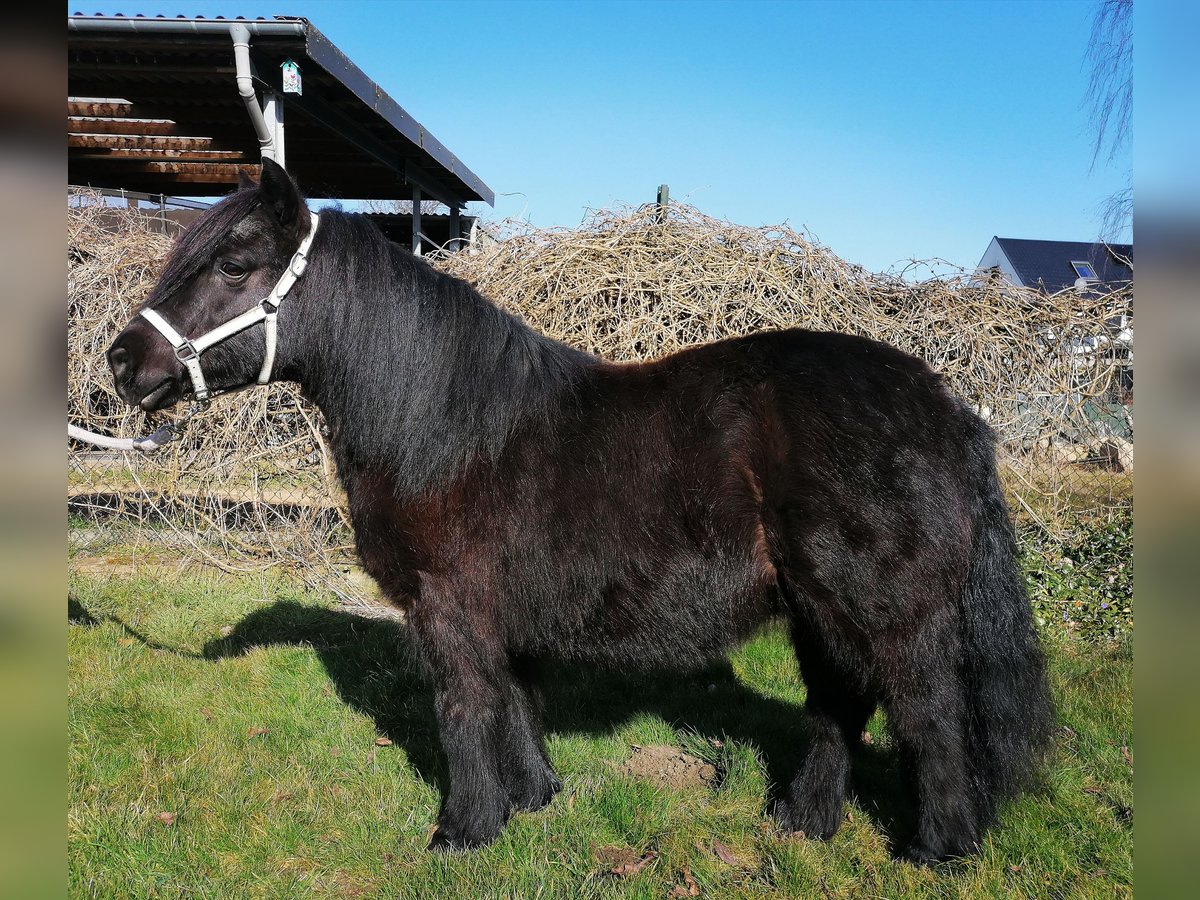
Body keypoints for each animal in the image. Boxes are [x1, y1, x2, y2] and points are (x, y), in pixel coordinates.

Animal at [110, 164, 1051, 868]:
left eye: (234, 267)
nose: (123, 361)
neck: (442, 422)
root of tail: (949, 409)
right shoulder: (503, 609)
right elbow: (515, 700)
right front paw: (534, 800)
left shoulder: (446, 605)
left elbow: (462, 711)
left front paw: (464, 830)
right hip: (818, 610)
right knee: (837, 708)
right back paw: (802, 821)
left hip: (887, 611)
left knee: (927, 713)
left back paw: (939, 847)